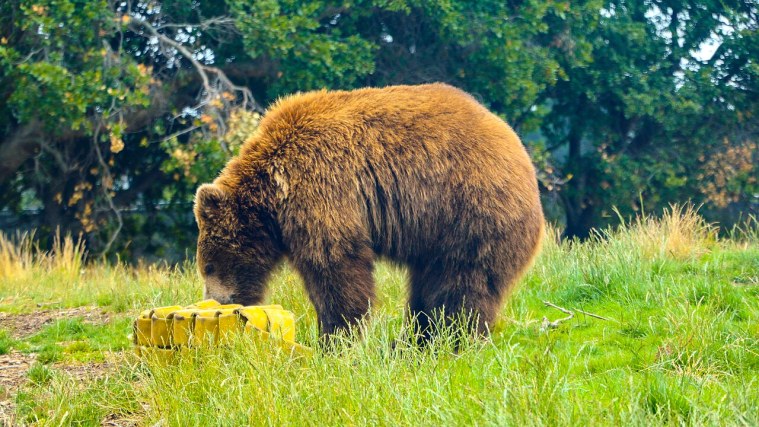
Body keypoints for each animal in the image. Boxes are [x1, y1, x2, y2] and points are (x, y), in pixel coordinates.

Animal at [194, 83, 544, 341]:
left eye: (208, 266)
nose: (217, 301)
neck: (274, 193)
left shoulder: (322, 186)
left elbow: (337, 266)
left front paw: (334, 337)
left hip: (470, 211)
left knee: (461, 286)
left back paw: (448, 341)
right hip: (435, 234)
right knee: (426, 287)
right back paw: (413, 342)